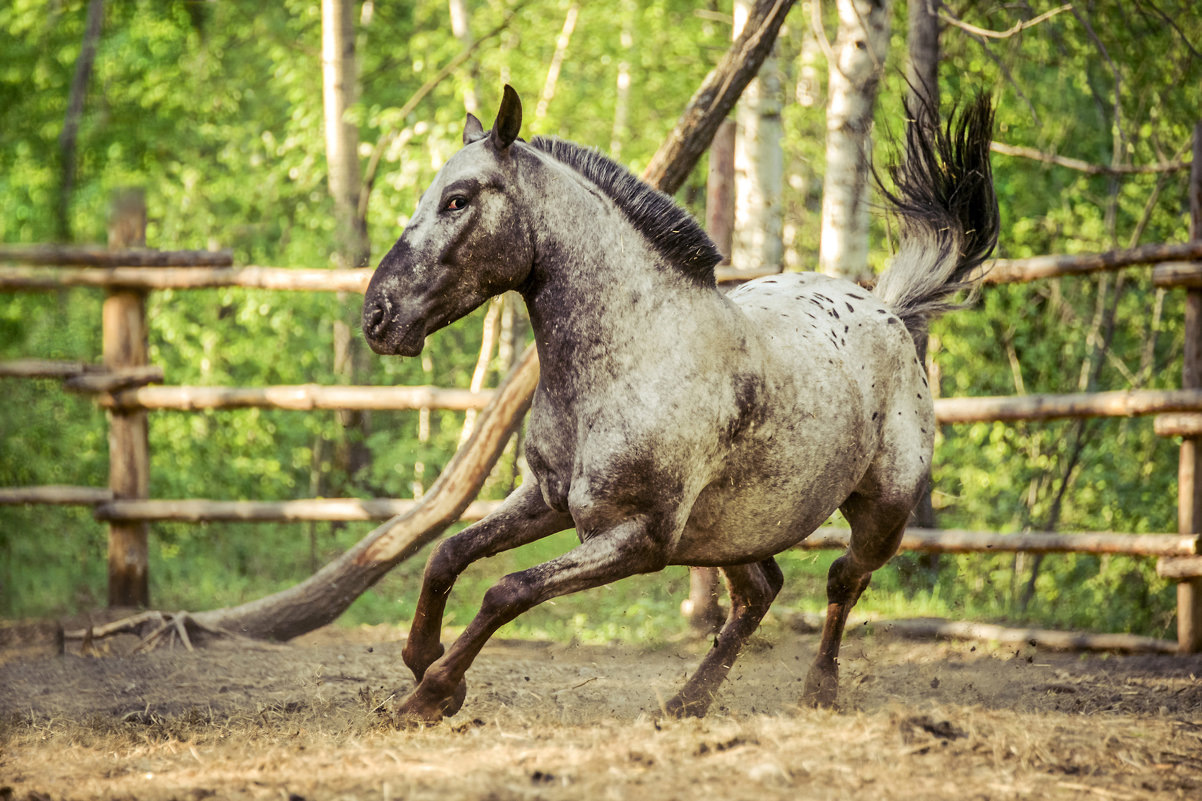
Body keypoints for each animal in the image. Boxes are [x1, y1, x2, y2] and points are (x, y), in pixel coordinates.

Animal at [360, 84, 1000, 721]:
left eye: (457, 200)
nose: (377, 317)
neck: (632, 358)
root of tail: (890, 310)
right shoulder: (549, 499)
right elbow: (448, 553)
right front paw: (422, 662)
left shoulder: (638, 539)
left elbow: (506, 590)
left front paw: (433, 693)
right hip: (731, 530)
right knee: (760, 592)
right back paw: (687, 701)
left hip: (881, 514)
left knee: (844, 579)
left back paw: (818, 691)